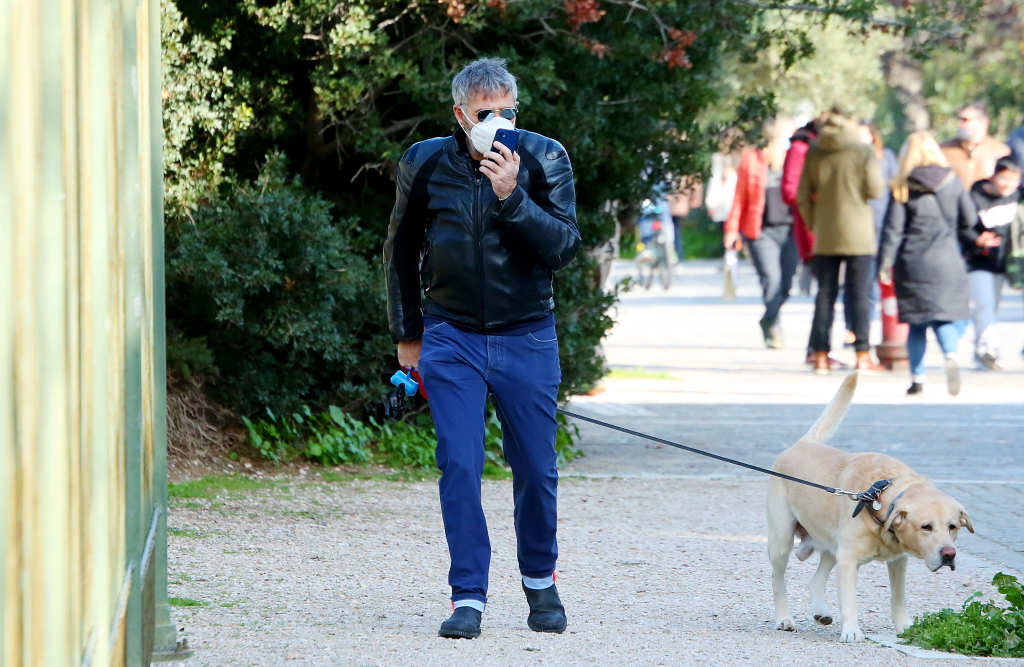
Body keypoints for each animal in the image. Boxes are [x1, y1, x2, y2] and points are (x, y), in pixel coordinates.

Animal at [770, 372, 974, 639]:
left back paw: (820, 611)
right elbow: (849, 599)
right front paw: (852, 631)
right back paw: (784, 618)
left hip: (831, 545)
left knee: (815, 580)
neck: (879, 501)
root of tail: (802, 444)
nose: (949, 554)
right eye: (926, 527)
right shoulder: (848, 559)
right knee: (777, 579)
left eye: (953, 527)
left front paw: (904, 626)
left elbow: (898, 597)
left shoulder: (898, 560)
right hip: (781, 541)